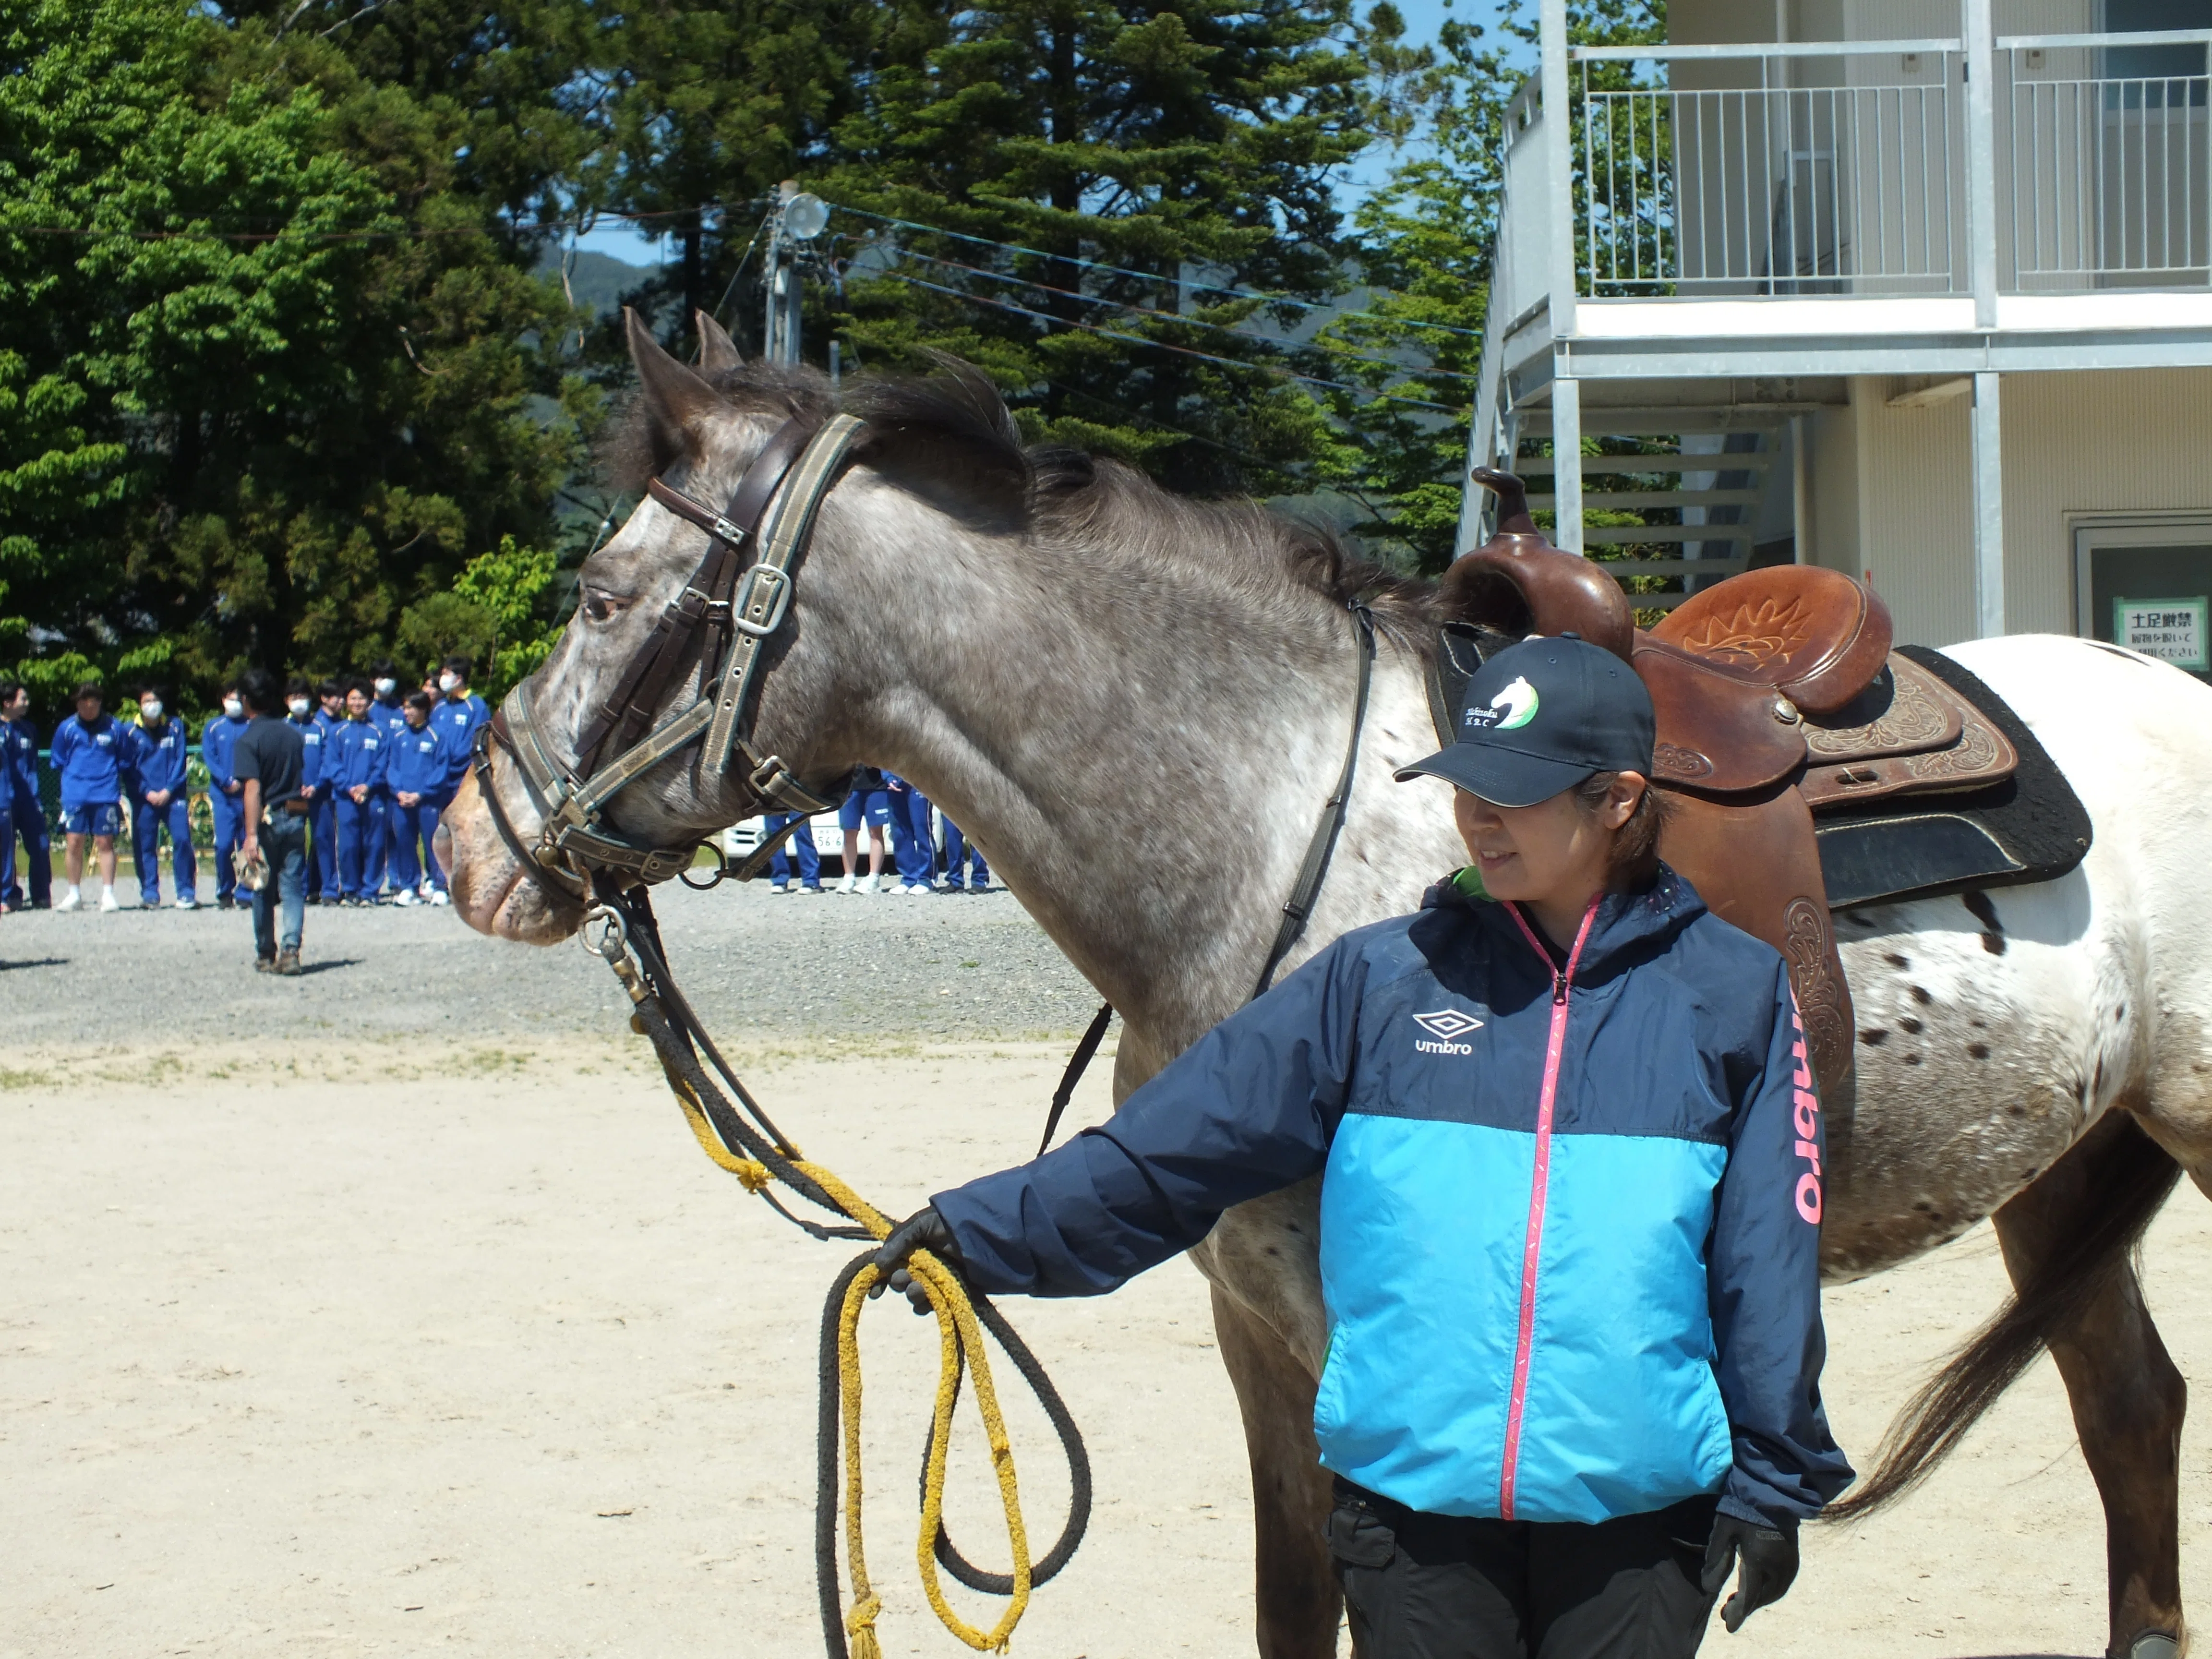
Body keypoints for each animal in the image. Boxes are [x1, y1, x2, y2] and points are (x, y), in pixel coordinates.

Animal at [442, 313, 2212, 1659]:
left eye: (599, 594)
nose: (475, 842)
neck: (1281, 818)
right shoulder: (1264, 1337)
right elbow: (1292, 1609)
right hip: (2058, 1167)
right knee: (2130, 1411)